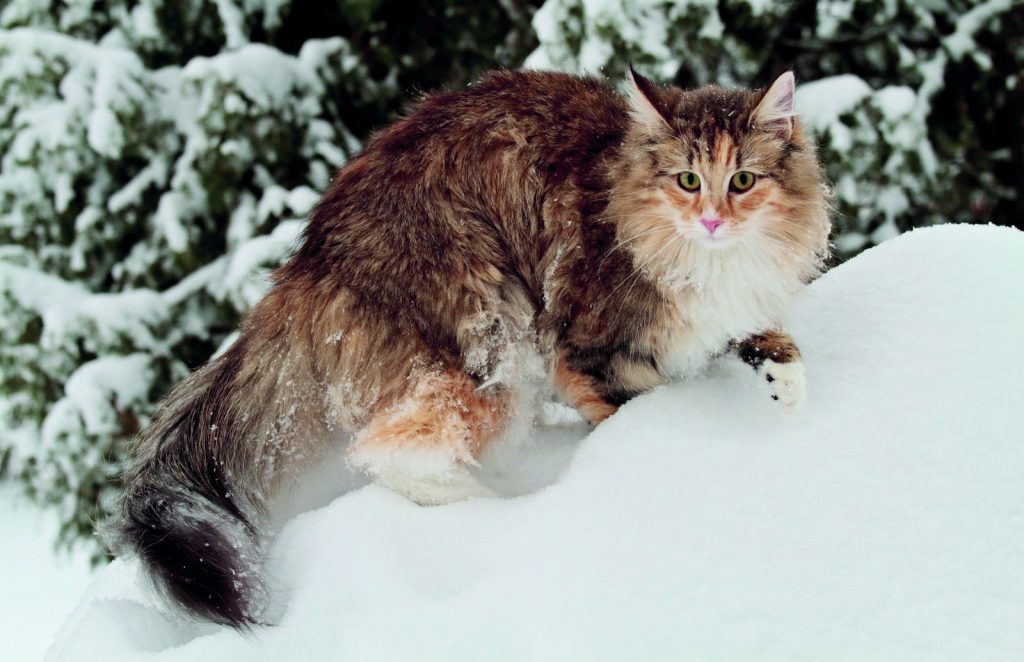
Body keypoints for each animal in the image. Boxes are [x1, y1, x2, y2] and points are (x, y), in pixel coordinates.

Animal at [110, 70, 831, 631]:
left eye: (743, 180)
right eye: (687, 179)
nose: (712, 219)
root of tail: (306, 265)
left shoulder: (734, 310)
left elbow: (773, 345)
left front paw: (785, 391)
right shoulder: (582, 352)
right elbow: (629, 413)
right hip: (494, 342)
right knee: (385, 450)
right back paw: (498, 506)